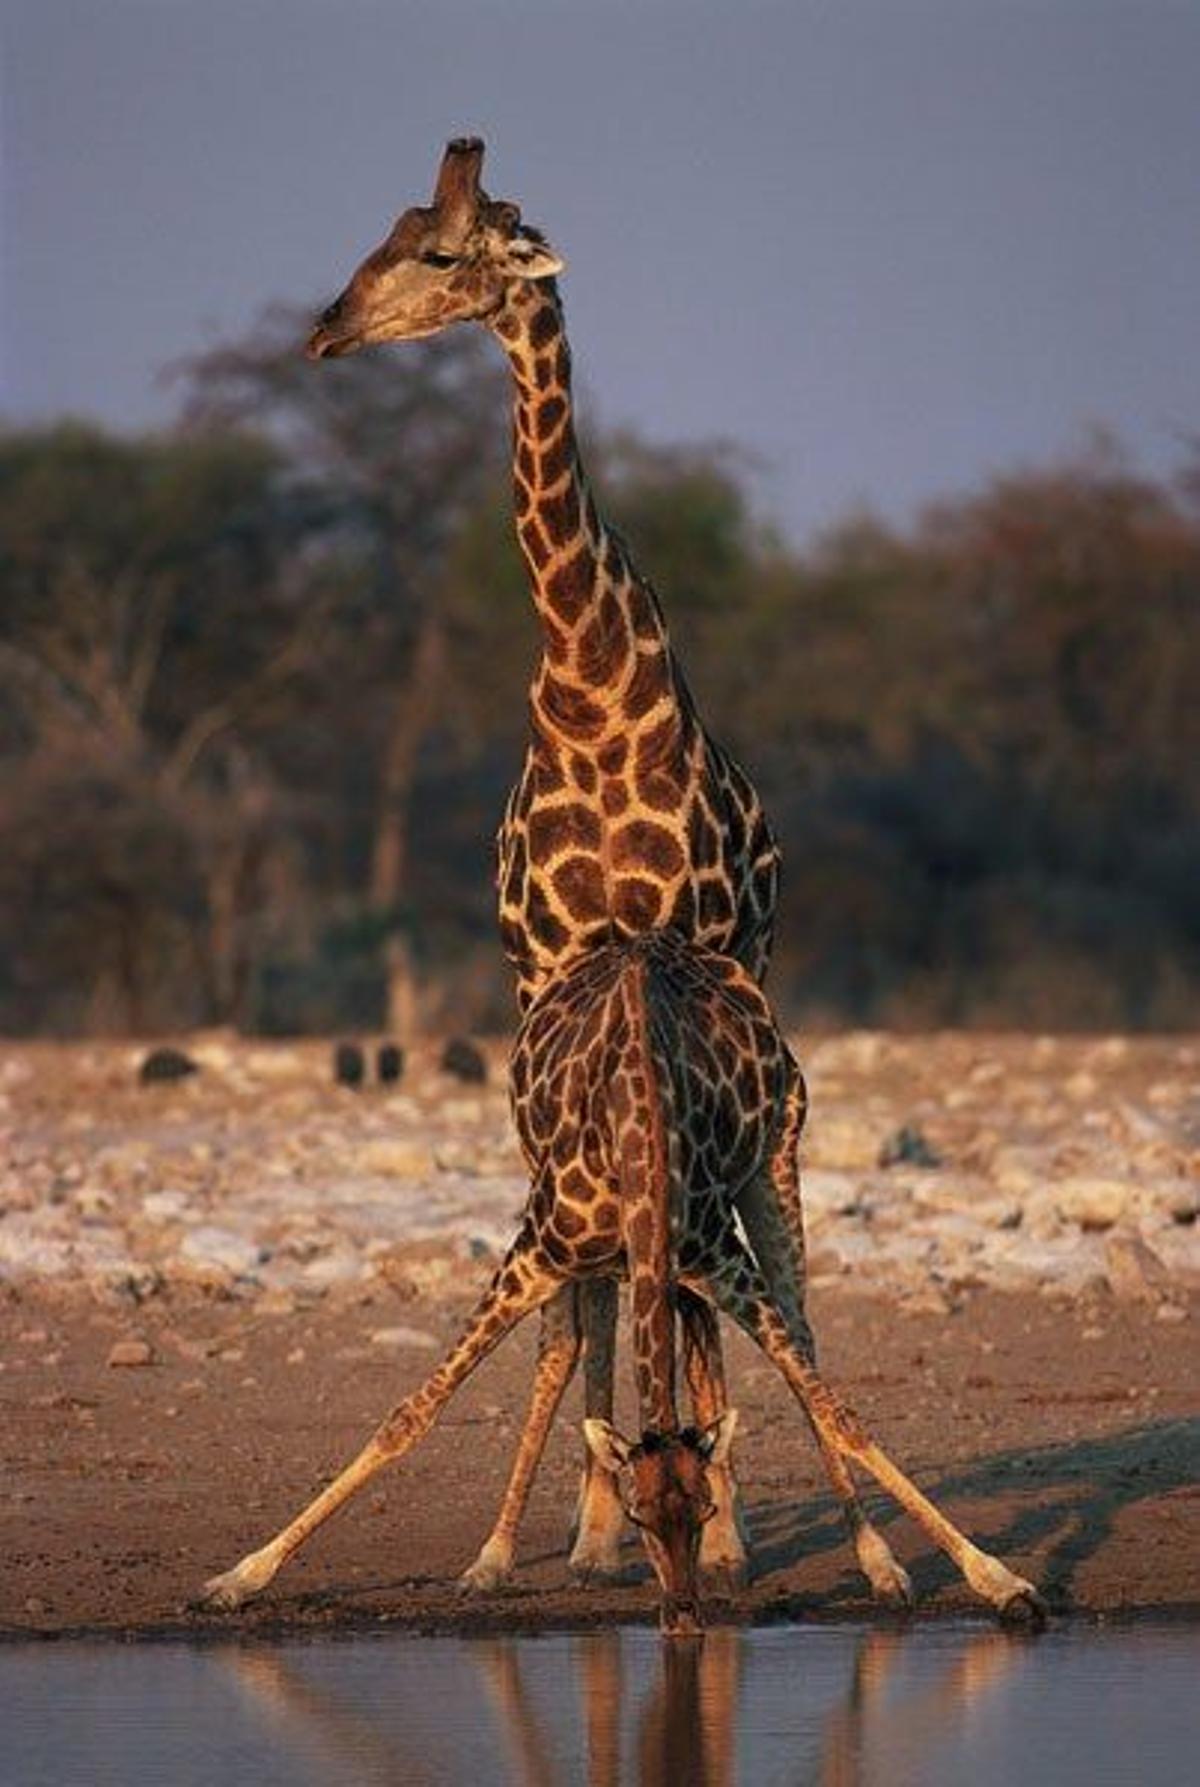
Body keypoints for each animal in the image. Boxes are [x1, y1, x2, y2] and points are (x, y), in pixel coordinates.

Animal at [199, 929, 1042, 1636]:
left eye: (702, 1505)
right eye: (639, 1515)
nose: (683, 1618)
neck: (637, 1131)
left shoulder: (715, 1257)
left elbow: (839, 1414)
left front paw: (998, 1581)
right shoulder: (535, 1249)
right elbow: (409, 1415)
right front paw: (238, 1577)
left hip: (775, 1158)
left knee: (798, 1334)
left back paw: (878, 1562)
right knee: (562, 1353)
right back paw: (493, 1557)